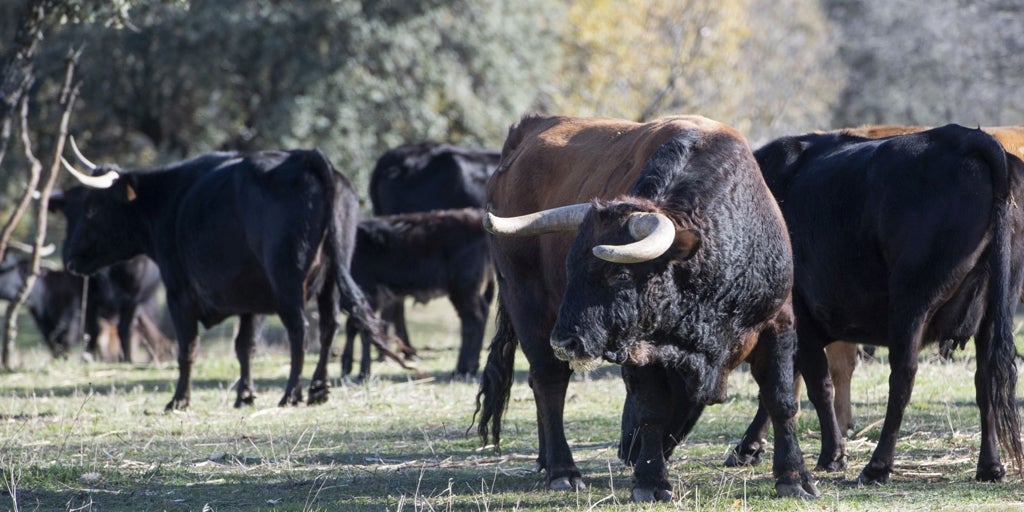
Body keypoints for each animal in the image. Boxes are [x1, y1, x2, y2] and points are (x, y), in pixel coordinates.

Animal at [58, 144, 391, 411]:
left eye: (92, 209)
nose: (71, 259)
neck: (167, 201)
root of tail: (305, 156)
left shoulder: (179, 293)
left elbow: (188, 348)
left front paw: (179, 399)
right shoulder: (252, 299)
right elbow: (245, 347)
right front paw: (244, 395)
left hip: (287, 280)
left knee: (300, 330)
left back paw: (291, 393)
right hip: (331, 279)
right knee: (328, 327)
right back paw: (318, 389)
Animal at [342, 205, 497, 378]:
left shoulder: (368, 292)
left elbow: (363, 329)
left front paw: (362, 372)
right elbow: (353, 326)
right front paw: (347, 367)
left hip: (464, 287)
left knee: (474, 318)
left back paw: (463, 369)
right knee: (475, 316)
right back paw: (469, 367)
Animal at [475, 114, 819, 501]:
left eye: (619, 273)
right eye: (570, 268)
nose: (565, 341)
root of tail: (525, 133)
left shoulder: (778, 324)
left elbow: (782, 399)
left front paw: (794, 476)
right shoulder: (640, 350)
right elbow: (652, 410)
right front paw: (651, 481)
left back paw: (546, 461)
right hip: (527, 307)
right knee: (549, 382)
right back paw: (562, 469)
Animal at [729, 123, 1024, 483]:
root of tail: (969, 138)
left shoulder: (800, 318)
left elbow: (814, 385)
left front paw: (832, 454)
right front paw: (750, 446)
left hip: (911, 302)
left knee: (903, 379)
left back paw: (877, 466)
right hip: (994, 310)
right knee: (987, 379)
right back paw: (990, 466)